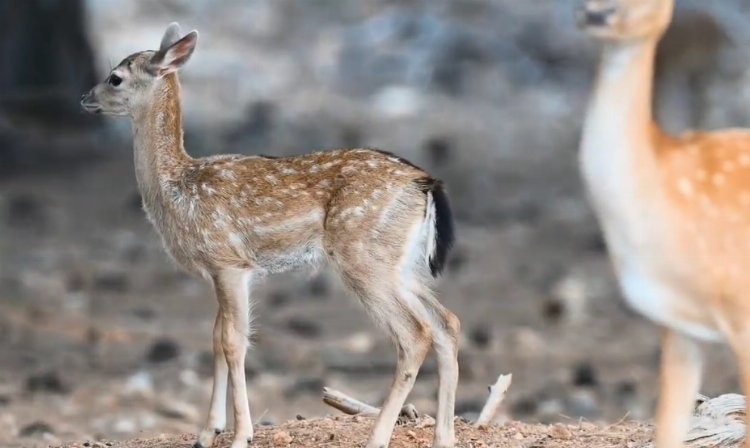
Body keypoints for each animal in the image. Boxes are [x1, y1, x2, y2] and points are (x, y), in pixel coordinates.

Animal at [81, 23, 458, 448]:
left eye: (115, 77)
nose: (85, 98)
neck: (175, 186)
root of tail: (425, 183)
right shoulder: (221, 269)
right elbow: (216, 337)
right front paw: (207, 432)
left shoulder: (228, 261)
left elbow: (234, 341)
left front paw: (240, 434)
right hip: (402, 264)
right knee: (447, 323)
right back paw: (444, 436)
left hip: (363, 256)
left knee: (415, 334)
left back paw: (377, 437)